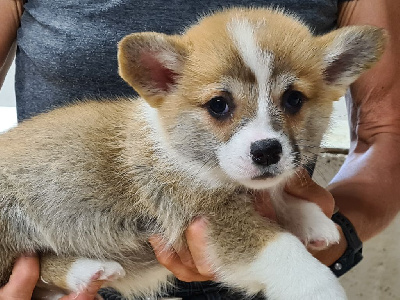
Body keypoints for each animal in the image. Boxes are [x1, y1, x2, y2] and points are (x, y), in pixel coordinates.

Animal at [0, 7, 384, 300]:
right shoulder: (209, 216)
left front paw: (315, 221)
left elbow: (281, 200)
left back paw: (90, 272)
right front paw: (319, 287)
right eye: (219, 105)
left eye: (294, 99)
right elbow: (281, 247)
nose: (266, 152)